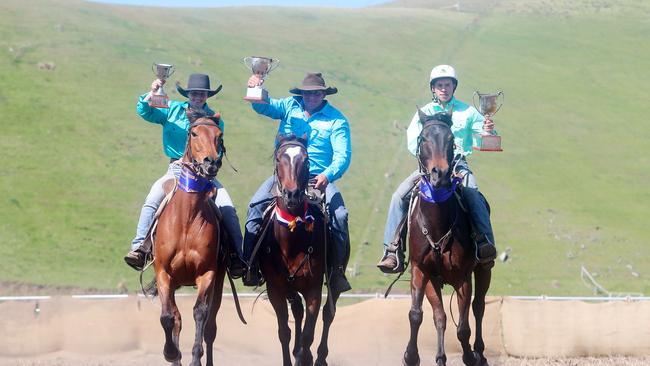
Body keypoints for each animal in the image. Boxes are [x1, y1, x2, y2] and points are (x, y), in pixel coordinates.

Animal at [151, 114, 227, 366]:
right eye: (194, 133)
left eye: (219, 136)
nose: (211, 162)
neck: (187, 218)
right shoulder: (163, 273)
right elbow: (168, 317)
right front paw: (171, 353)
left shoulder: (207, 273)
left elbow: (200, 313)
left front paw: (195, 358)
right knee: (175, 317)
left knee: (211, 327)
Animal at [256, 135, 342, 366]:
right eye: (279, 159)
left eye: (306, 160)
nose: (292, 194)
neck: (291, 240)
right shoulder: (275, 290)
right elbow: (284, 332)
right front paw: (293, 357)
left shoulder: (313, 290)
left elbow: (307, 335)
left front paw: (305, 357)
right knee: (298, 312)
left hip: (332, 283)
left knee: (328, 313)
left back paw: (319, 357)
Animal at [400, 111, 492, 366]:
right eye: (422, 138)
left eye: (451, 139)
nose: (439, 174)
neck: (437, 225)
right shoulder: (422, 271)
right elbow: (419, 314)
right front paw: (411, 356)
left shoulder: (463, 277)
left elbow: (463, 327)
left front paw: (469, 356)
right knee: (440, 315)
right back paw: (441, 356)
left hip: (484, 269)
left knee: (479, 306)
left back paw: (479, 353)